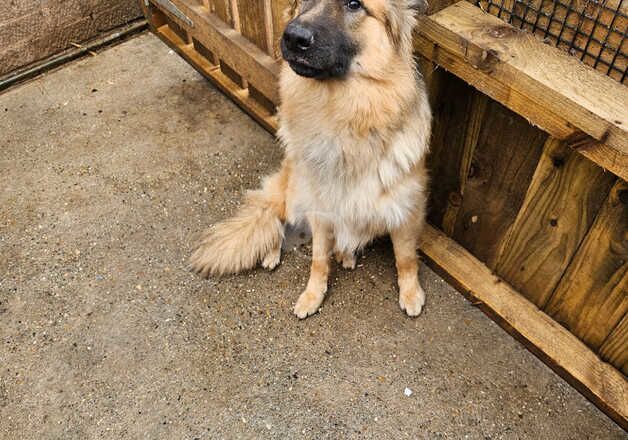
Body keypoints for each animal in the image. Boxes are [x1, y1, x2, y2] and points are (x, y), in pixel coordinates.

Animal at [189, 0, 432, 318]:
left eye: (354, 4)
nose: (292, 38)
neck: (346, 116)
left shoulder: (406, 210)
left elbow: (405, 258)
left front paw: (411, 291)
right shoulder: (320, 210)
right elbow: (318, 260)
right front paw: (312, 295)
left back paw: (345, 254)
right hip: (293, 192)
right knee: (275, 221)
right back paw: (272, 253)